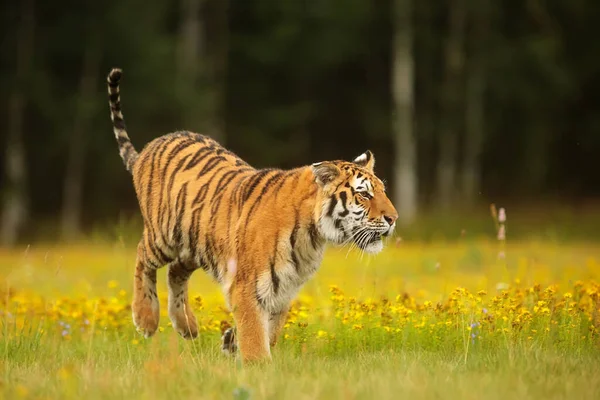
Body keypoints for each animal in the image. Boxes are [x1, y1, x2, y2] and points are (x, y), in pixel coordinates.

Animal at [106, 68, 398, 362]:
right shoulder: (247, 285)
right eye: (364, 195)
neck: (312, 236)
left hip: (195, 244)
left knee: (176, 271)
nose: (393, 218)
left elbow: (269, 330)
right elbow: (255, 333)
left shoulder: (283, 290)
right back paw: (145, 318)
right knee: (142, 256)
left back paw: (186, 325)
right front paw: (258, 364)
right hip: (164, 235)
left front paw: (231, 343)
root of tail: (149, 147)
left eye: (382, 191)